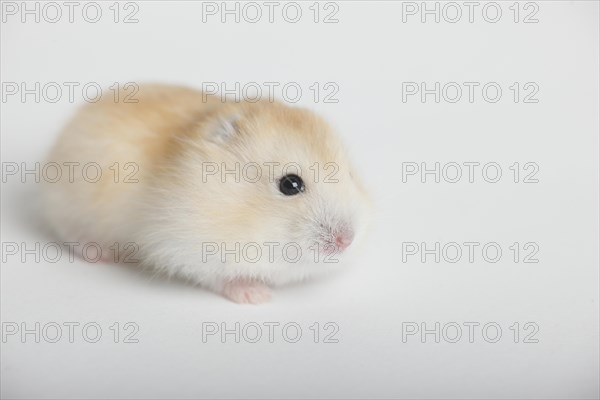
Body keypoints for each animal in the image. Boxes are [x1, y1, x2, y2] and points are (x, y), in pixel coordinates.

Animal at [43, 83, 370, 304]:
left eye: (350, 175)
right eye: (290, 184)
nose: (346, 240)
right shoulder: (188, 246)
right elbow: (221, 276)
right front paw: (257, 296)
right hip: (72, 205)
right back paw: (101, 254)